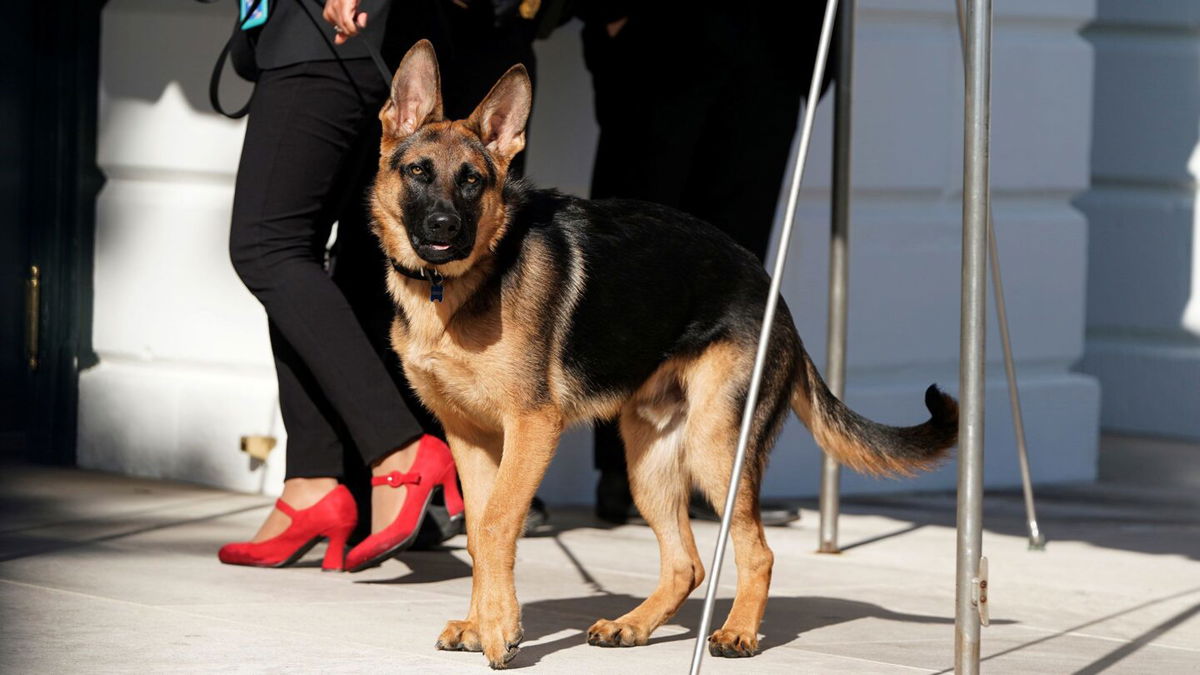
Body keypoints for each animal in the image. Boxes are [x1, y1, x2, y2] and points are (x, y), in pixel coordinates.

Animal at [369, 42, 960, 667]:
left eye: (473, 181)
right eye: (417, 172)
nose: (444, 227)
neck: (457, 287)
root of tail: (775, 295)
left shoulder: (531, 427)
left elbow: (497, 525)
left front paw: (502, 630)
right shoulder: (470, 436)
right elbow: (480, 533)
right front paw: (482, 625)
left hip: (715, 448)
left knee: (757, 552)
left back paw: (737, 633)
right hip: (647, 461)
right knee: (687, 563)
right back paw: (632, 625)